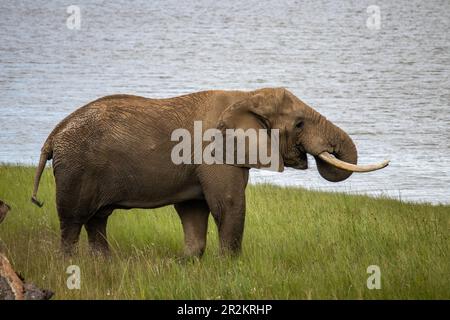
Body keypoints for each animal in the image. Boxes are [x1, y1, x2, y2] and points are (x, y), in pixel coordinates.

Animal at [31, 87, 388, 258]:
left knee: (97, 220)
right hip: (76, 169)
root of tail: (52, 136)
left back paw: (103, 264)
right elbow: (228, 205)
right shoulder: (213, 151)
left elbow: (195, 210)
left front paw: (187, 263)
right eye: (299, 124)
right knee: (73, 222)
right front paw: (230, 265)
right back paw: (70, 266)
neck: (245, 96)